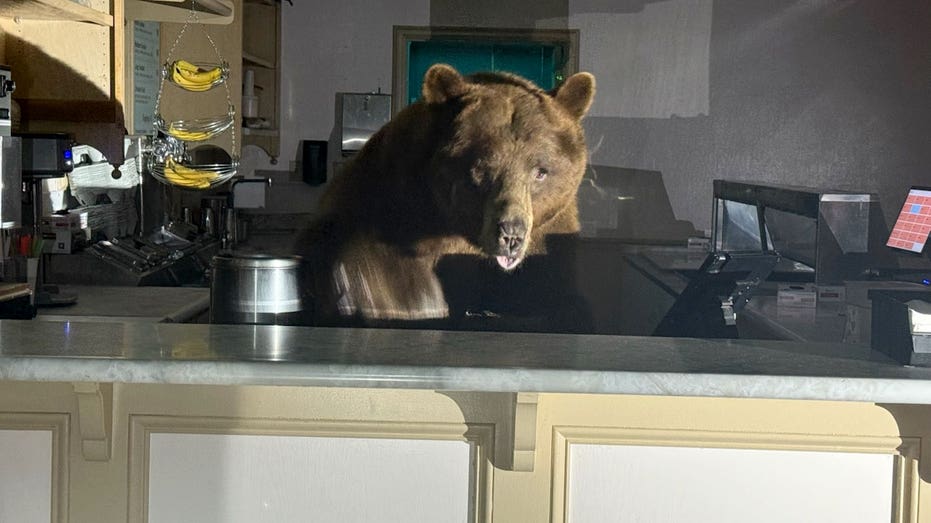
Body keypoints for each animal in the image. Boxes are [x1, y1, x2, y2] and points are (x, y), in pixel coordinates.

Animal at [295, 63, 596, 326]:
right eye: (481, 167)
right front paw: (410, 298)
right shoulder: (390, 196)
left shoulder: (551, 228)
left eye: (541, 171)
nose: (511, 235)